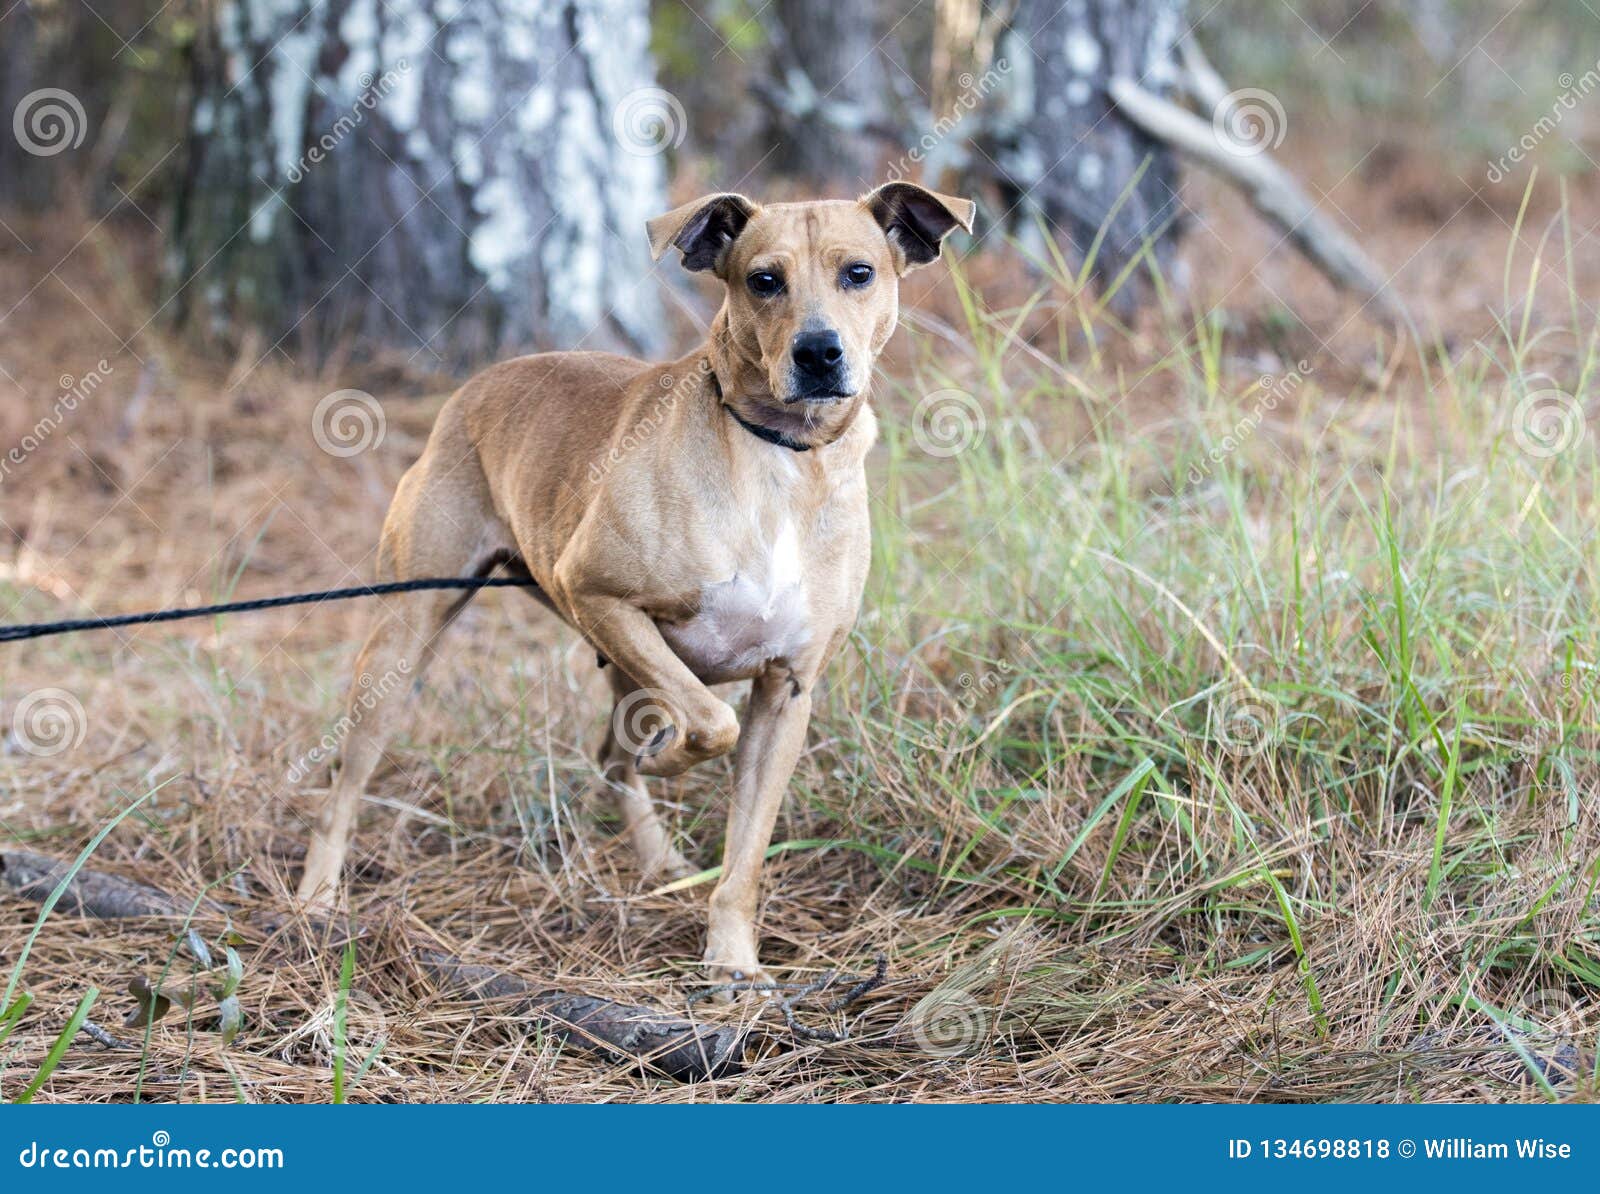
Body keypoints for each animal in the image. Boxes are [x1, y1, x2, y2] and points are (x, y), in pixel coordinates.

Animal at [299, 176, 972, 979]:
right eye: (763, 280)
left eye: (859, 273)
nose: (818, 352)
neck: (780, 456)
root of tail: (479, 384)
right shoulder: (597, 595)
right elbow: (710, 724)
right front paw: (673, 762)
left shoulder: (787, 690)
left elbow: (745, 853)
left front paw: (732, 960)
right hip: (406, 643)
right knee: (346, 783)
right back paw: (314, 896)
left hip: (625, 673)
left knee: (612, 759)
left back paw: (657, 863)